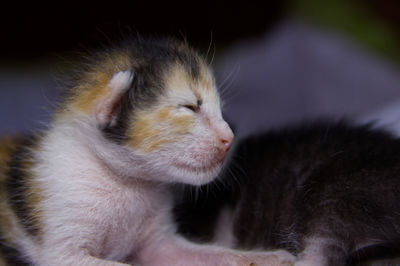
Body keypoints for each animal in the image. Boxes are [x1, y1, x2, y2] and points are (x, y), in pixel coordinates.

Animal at [0, 37, 294, 266]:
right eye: (189, 107)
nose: (229, 138)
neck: (125, 181)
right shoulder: (62, 249)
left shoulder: (159, 245)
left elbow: (212, 253)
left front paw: (266, 257)